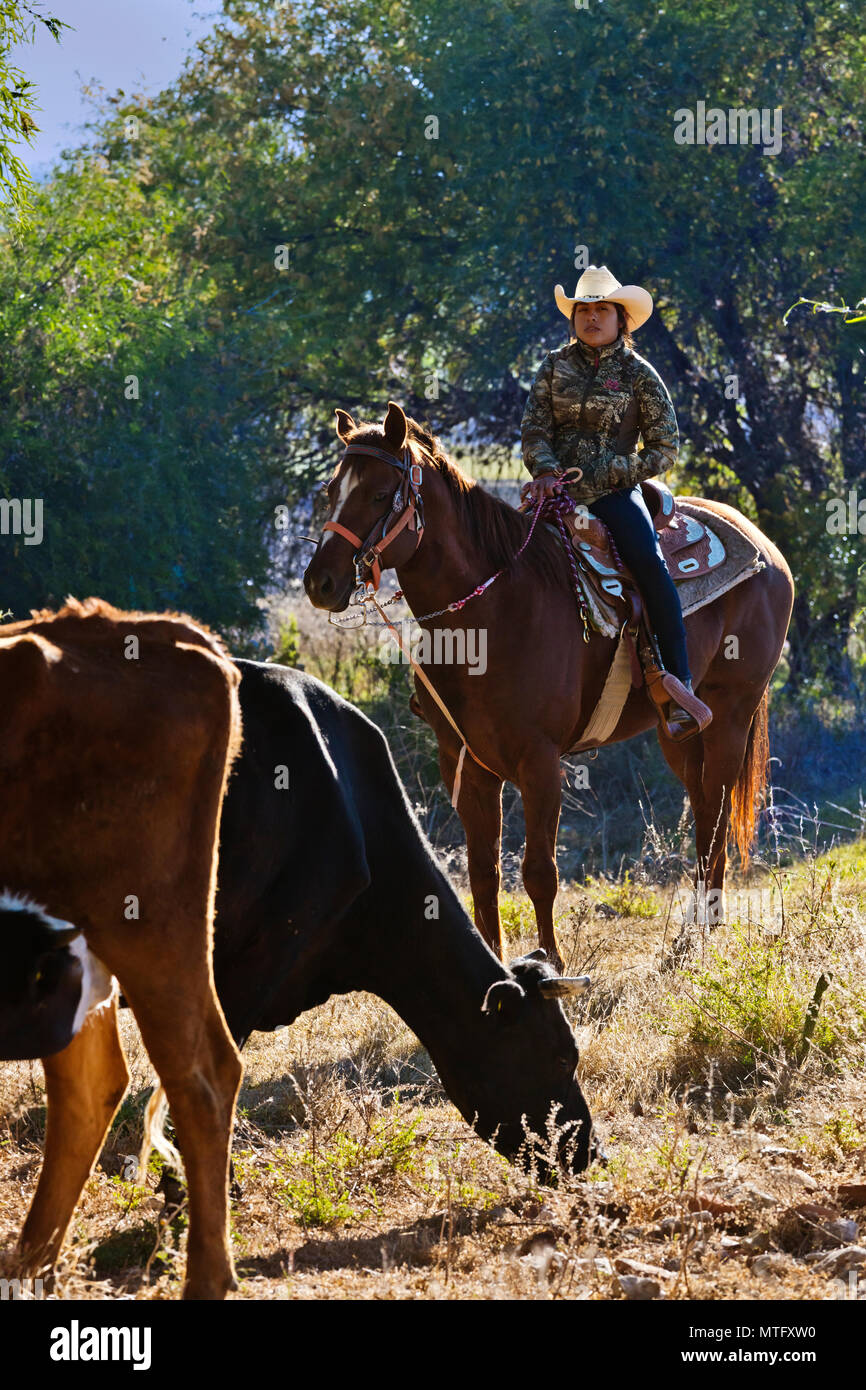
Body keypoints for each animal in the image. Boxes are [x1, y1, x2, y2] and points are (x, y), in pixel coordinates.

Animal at [304, 400, 795, 967]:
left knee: (715, 819)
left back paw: (707, 937)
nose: (320, 583)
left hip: (732, 715)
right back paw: (690, 938)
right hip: (681, 733)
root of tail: (763, 544)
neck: (490, 615)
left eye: (381, 494)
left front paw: (551, 963)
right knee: (702, 809)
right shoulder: (464, 763)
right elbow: (483, 873)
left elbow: (539, 871)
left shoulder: (540, 763)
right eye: (331, 491)